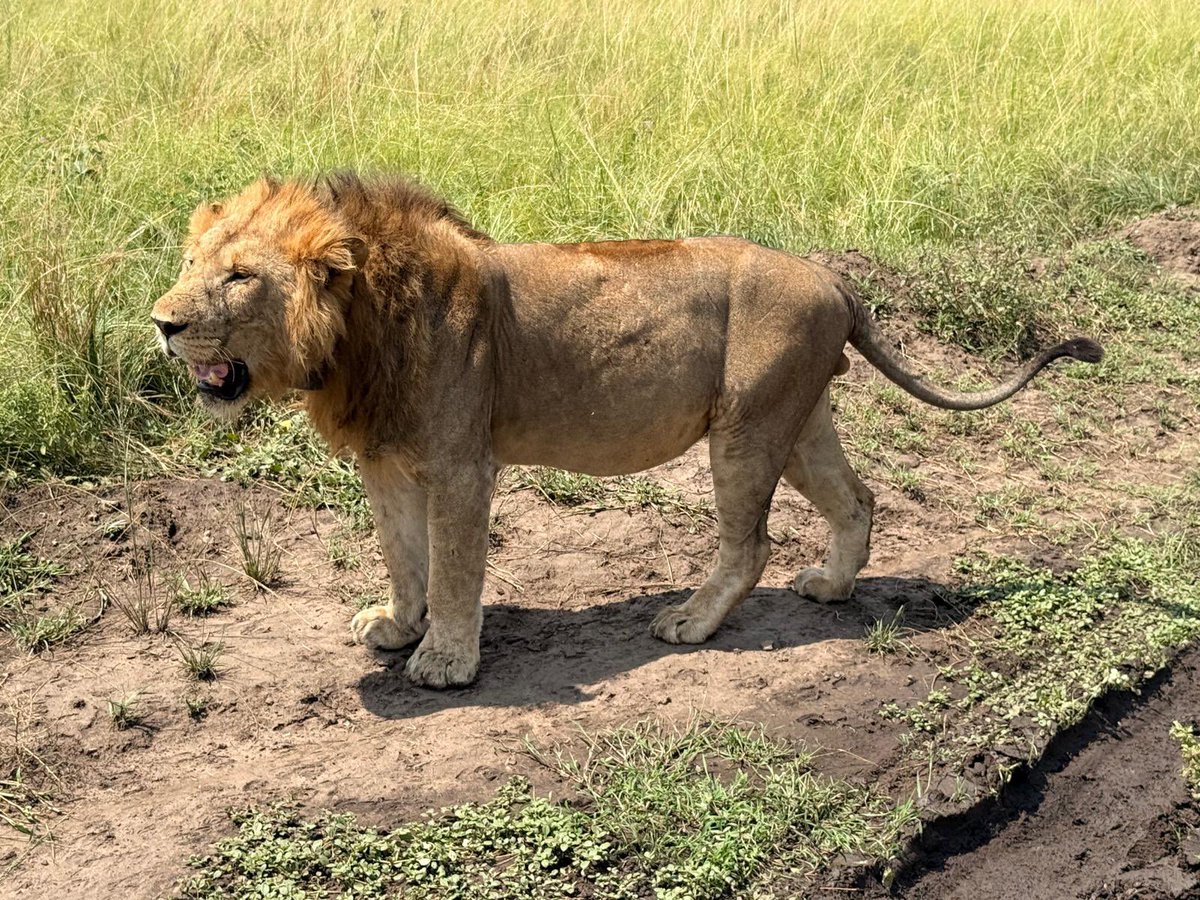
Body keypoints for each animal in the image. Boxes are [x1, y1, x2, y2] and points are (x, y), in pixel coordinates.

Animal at [151, 173, 1102, 687]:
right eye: (191, 263)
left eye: (239, 277)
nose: (161, 322)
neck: (355, 332)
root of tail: (834, 279)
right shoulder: (385, 463)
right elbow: (402, 554)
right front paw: (398, 624)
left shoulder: (461, 465)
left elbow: (454, 567)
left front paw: (446, 661)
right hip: (799, 419)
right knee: (857, 498)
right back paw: (831, 587)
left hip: (747, 426)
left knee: (749, 543)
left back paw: (690, 622)